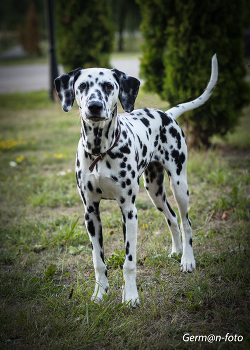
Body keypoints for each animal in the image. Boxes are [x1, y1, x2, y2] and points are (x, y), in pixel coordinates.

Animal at [54, 53, 217, 304]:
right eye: (82, 86)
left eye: (108, 86)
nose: (94, 106)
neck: (100, 150)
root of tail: (167, 114)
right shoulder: (90, 213)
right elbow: (98, 261)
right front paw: (100, 293)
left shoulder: (129, 211)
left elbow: (129, 262)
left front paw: (130, 296)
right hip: (154, 190)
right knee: (171, 218)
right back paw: (176, 251)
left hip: (179, 185)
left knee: (186, 222)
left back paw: (188, 260)